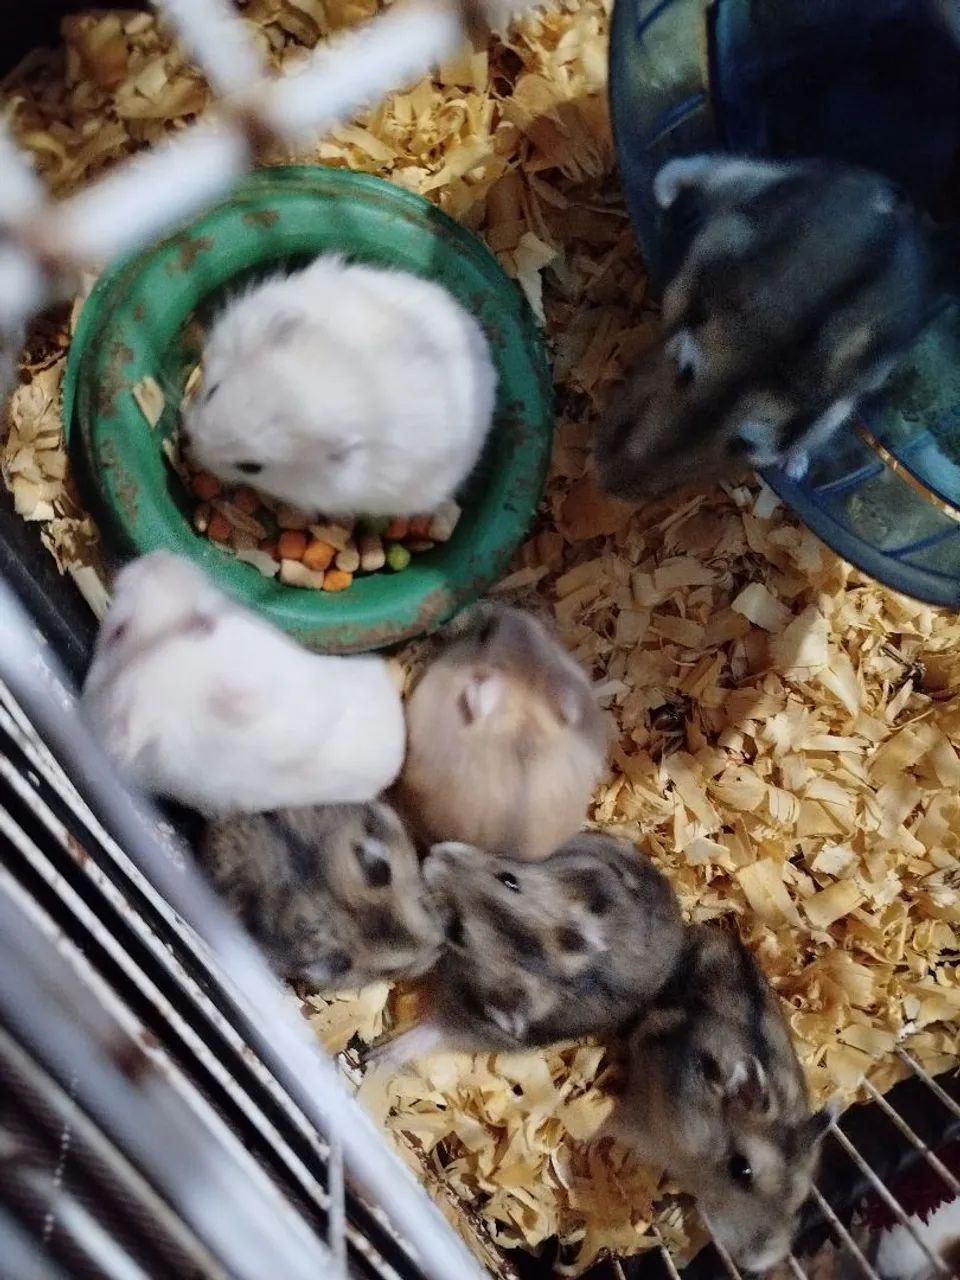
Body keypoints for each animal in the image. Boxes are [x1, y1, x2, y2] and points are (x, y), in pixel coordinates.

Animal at [372, 833, 684, 1063]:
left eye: (457, 931)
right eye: (509, 879)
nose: (435, 853)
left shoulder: (477, 1027)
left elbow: (435, 1031)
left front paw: (380, 1056)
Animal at [595, 153, 947, 500]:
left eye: (743, 444)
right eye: (685, 372)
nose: (607, 485)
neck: (769, 359)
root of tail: (896, 201)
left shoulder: (834, 410)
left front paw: (795, 469)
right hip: (755, 200)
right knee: (717, 167)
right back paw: (665, 189)